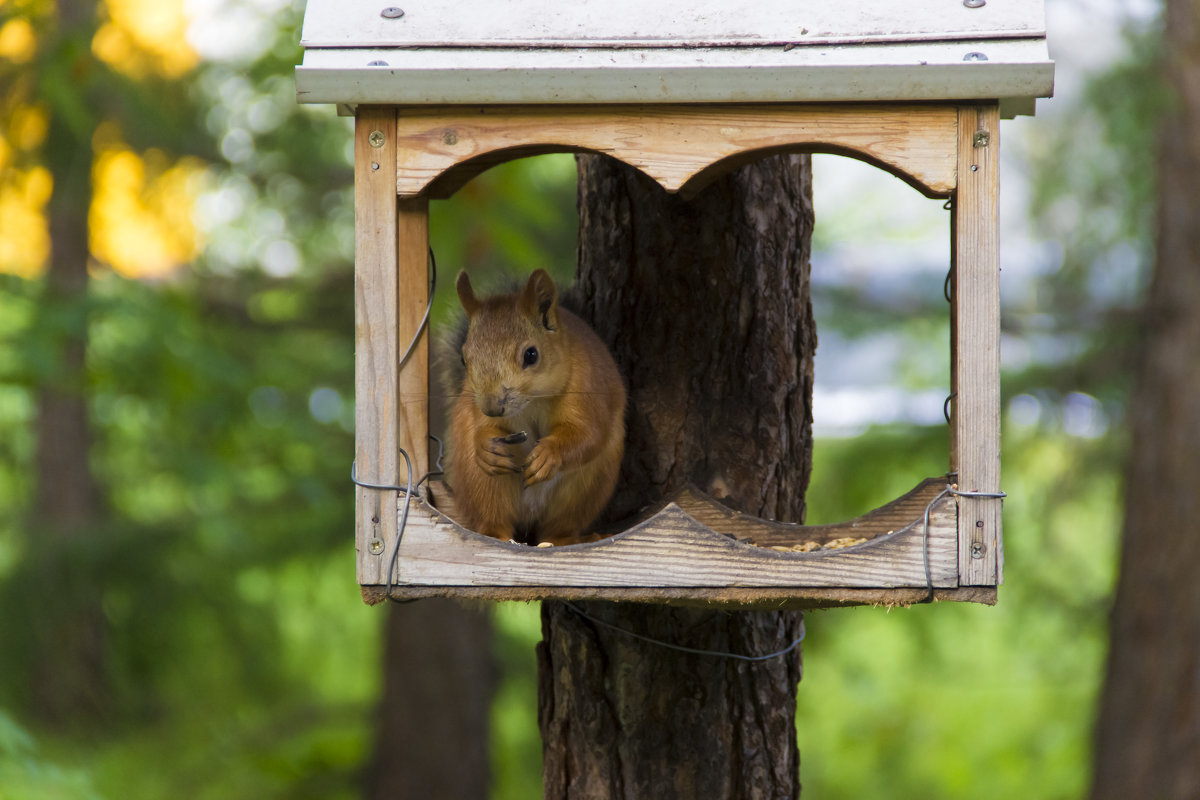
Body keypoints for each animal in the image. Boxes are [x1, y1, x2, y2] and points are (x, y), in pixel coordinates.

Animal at [446, 267, 624, 544]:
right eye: (464, 359)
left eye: (531, 354)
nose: (492, 408)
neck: (533, 402)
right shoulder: (480, 410)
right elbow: (482, 427)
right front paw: (486, 446)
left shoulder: (588, 389)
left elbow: (589, 434)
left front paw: (548, 454)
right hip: (480, 481)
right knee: (493, 518)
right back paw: (497, 536)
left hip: (586, 489)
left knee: (559, 527)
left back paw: (567, 540)